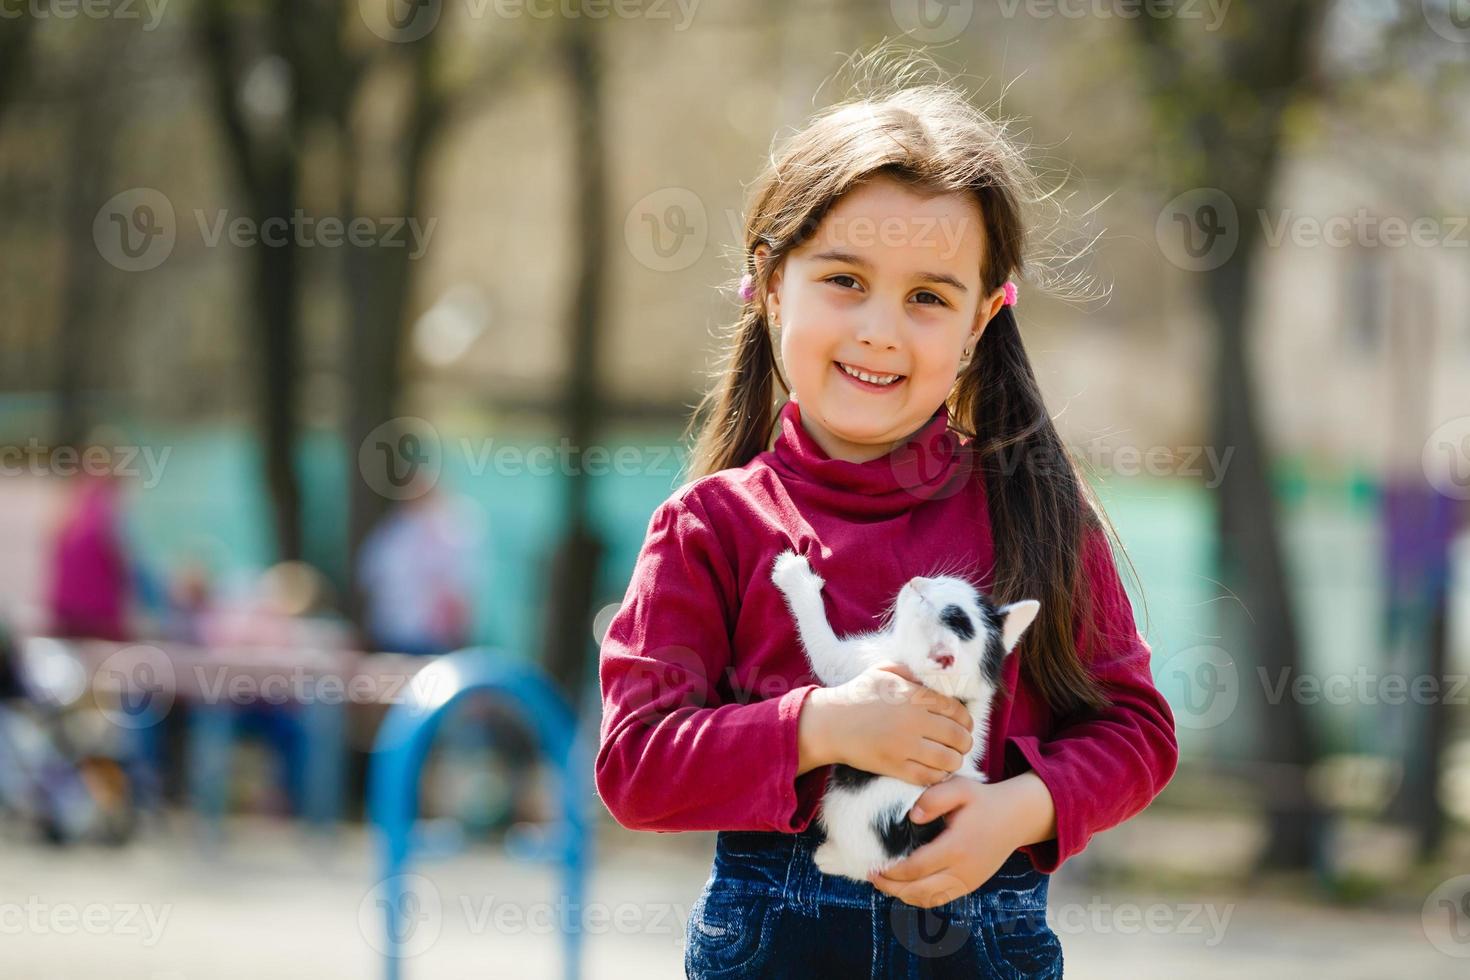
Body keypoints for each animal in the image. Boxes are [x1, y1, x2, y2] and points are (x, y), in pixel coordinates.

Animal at [770, 552, 1034, 881]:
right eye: (941, 584)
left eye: (922, 600)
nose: (915, 581)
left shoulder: (856, 663)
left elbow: (822, 646)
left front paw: (794, 576)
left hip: (850, 812)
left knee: (868, 865)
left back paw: (831, 858)